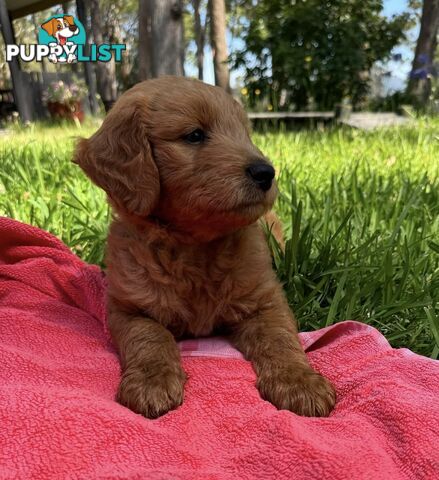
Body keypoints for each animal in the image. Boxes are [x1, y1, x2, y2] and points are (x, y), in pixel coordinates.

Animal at [75, 77, 336, 418]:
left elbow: (280, 338)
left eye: (244, 134)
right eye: (195, 135)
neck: (194, 247)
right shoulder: (127, 308)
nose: (266, 172)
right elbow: (149, 337)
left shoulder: (266, 301)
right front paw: (151, 382)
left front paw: (300, 382)